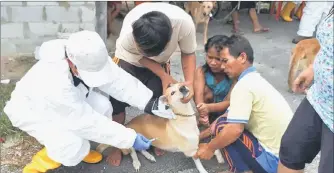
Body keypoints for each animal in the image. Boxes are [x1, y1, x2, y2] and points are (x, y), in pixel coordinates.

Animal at [96, 83, 224, 172]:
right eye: (172, 93)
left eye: (180, 84)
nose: (183, 87)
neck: (184, 117)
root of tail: (127, 124)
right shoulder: (190, 151)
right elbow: (200, 161)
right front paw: (204, 170)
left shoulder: (196, 142)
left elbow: (211, 147)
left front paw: (219, 156)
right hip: (133, 139)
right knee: (133, 152)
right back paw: (137, 163)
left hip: (145, 140)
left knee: (141, 149)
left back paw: (149, 156)